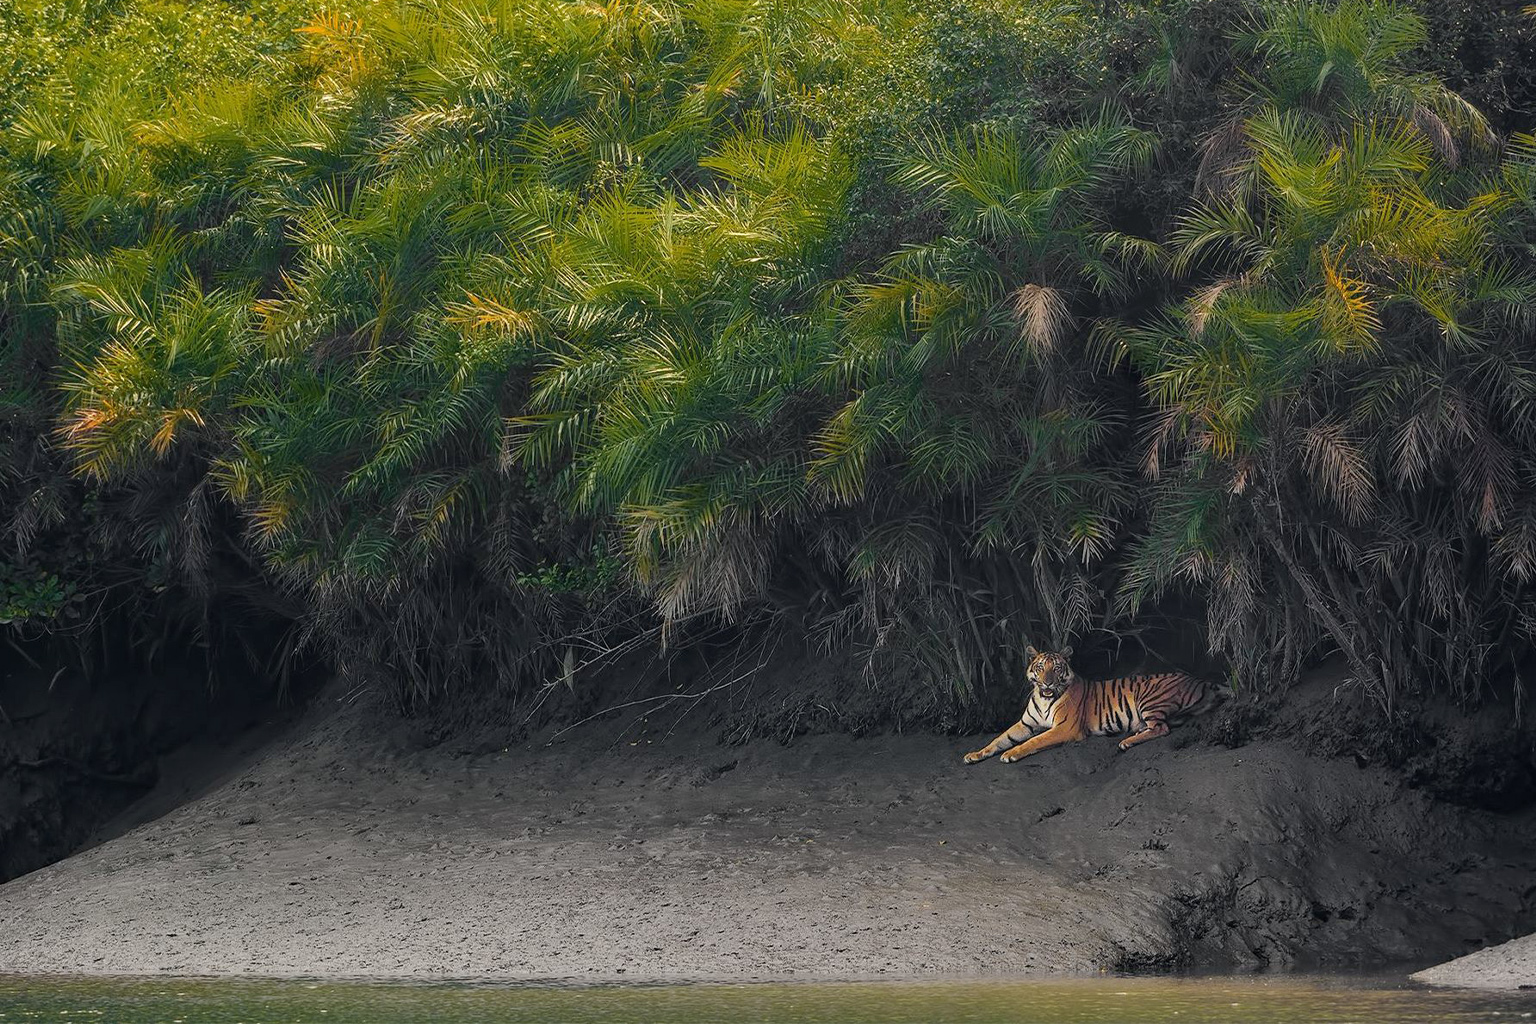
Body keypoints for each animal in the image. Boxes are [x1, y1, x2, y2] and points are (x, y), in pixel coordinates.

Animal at [963, 645, 1212, 764]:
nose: (1047, 682)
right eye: (1040, 667)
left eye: (1056, 668)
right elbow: (999, 739)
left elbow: (1035, 741)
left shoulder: (1065, 728)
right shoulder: (1025, 724)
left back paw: (1127, 742)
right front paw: (975, 754)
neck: (1044, 698)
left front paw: (1011, 753)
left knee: (1161, 728)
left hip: (1149, 696)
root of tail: (1197, 679)